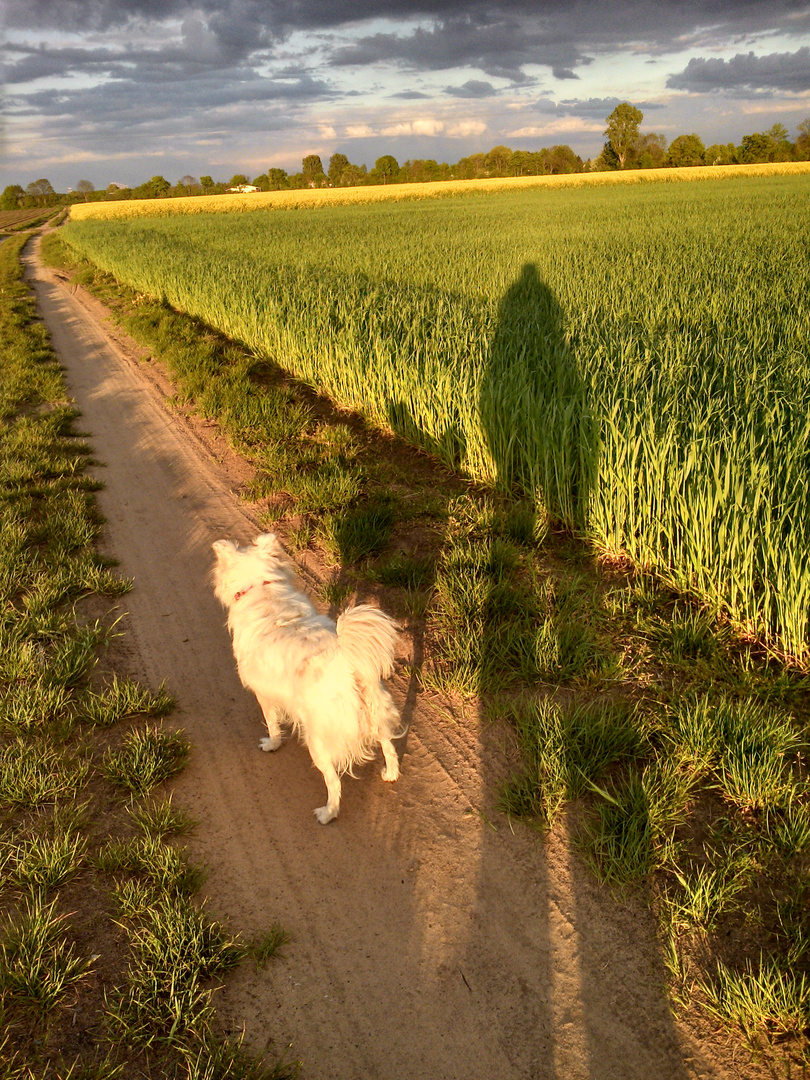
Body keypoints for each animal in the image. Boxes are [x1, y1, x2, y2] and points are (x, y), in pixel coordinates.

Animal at [212, 533, 403, 825]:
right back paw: (390, 773)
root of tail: (348, 664)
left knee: (334, 781)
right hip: (376, 710)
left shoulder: (263, 694)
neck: (262, 589)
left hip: (318, 742)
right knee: (388, 744)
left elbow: (272, 724)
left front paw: (271, 745)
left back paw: (327, 813)